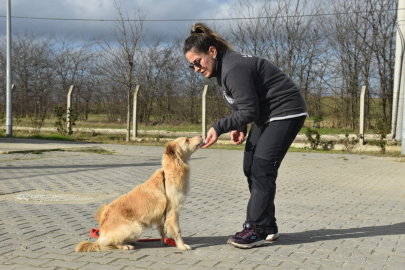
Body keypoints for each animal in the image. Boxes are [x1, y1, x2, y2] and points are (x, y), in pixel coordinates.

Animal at [74, 136, 204, 252]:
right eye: (187, 140)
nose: (201, 135)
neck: (171, 171)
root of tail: (102, 231)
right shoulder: (173, 212)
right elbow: (177, 231)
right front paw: (182, 246)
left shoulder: (163, 216)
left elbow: (163, 230)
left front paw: (166, 241)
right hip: (137, 228)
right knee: (112, 242)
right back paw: (125, 245)